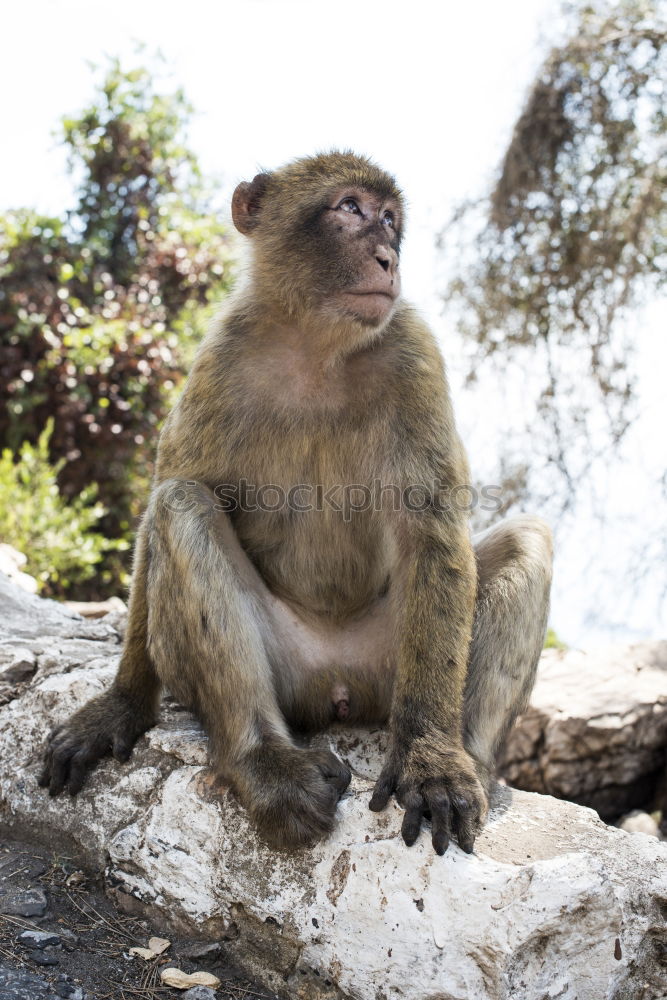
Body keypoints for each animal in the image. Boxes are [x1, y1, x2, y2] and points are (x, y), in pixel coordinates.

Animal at [39, 152, 556, 856]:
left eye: (390, 219)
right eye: (350, 209)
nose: (388, 256)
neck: (317, 344)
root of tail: (336, 689)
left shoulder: (414, 350)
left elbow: (431, 533)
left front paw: (433, 762)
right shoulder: (219, 359)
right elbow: (166, 501)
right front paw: (121, 703)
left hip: (387, 667)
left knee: (526, 540)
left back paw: (465, 758)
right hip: (291, 671)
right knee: (182, 507)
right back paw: (264, 759)